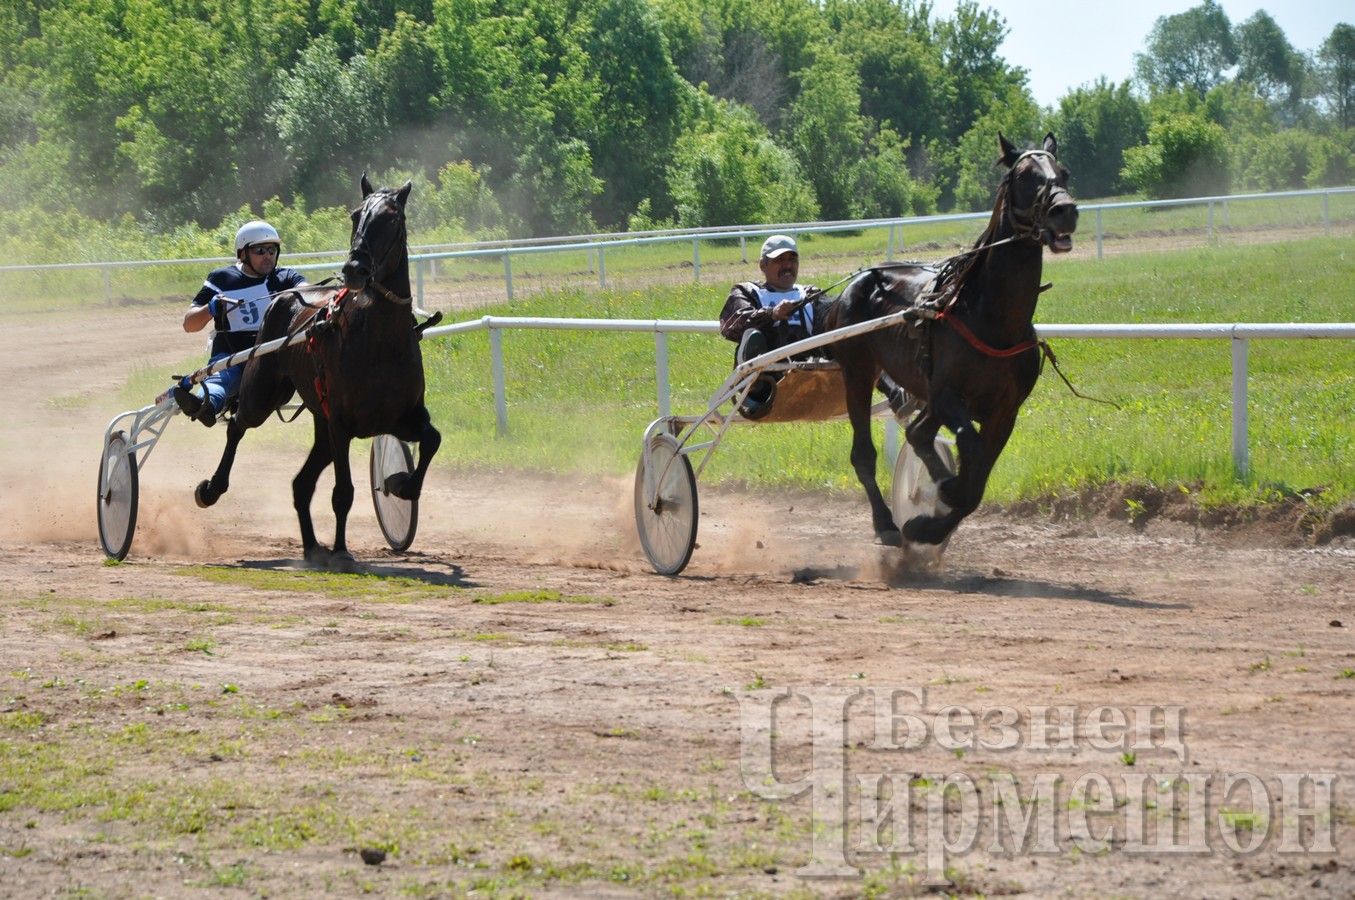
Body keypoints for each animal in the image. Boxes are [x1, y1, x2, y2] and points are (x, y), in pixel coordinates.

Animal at [193, 174, 439, 569]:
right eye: (355, 214)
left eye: (392, 218)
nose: (354, 269)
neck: (379, 340)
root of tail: (286, 296)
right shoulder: (341, 423)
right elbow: (343, 492)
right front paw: (341, 551)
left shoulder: (403, 416)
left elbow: (432, 440)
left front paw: (399, 483)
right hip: (264, 394)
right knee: (237, 426)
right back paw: (213, 487)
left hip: (319, 423)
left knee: (301, 483)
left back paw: (311, 547)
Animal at [823, 133, 1078, 547]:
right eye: (1025, 175)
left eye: (1064, 172)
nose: (1065, 210)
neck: (992, 320)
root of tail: (855, 283)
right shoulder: (947, 396)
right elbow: (970, 452)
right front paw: (944, 490)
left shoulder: (1004, 412)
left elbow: (976, 481)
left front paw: (929, 523)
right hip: (857, 373)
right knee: (865, 454)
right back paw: (886, 522)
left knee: (917, 433)